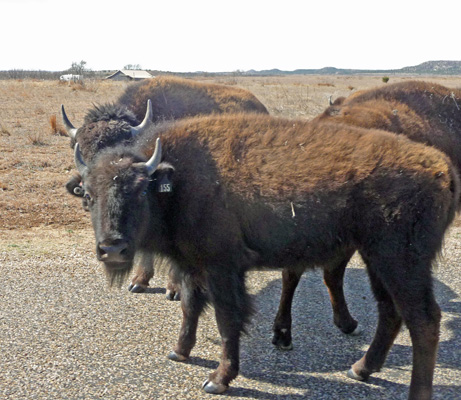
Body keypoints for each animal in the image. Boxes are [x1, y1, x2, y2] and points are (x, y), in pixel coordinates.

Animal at [71, 110, 456, 400]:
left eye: (139, 191)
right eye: (88, 195)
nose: (112, 248)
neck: (175, 179)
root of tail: (441, 168)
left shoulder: (222, 268)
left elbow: (227, 319)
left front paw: (218, 379)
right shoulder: (194, 267)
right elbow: (190, 308)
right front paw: (179, 352)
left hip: (400, 262)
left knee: (424, 319)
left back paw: (413, 391)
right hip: (376, 259)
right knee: (390, 312)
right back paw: (361, 369)